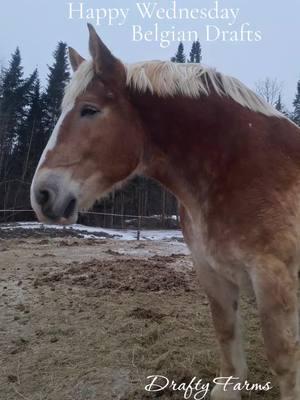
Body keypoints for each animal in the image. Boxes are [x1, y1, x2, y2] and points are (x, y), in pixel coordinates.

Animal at [31, 24, 300, 396]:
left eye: (89, 109)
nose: (41, 195)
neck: (240, 167)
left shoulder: (273, 280)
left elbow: (284, 362)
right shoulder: (212, 273)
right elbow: (227, 341)